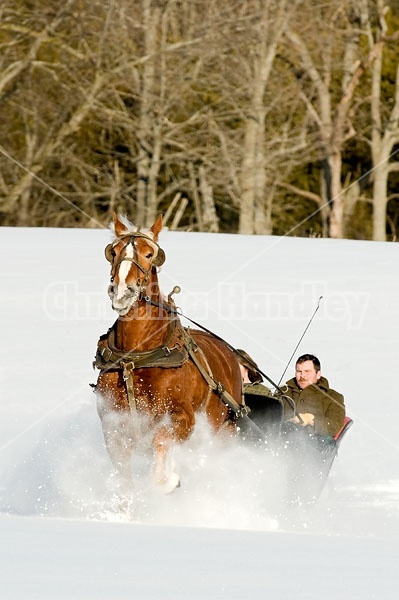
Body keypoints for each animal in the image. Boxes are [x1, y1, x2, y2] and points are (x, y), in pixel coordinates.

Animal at [94, 213, 244, 494]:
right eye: (114, 252)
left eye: (150, 254)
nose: (122, 291)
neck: (136, 359)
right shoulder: (113, 428)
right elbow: (124, 479)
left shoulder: (184, 418)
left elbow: (162, 439)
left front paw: (166, 480)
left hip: (222, 429)